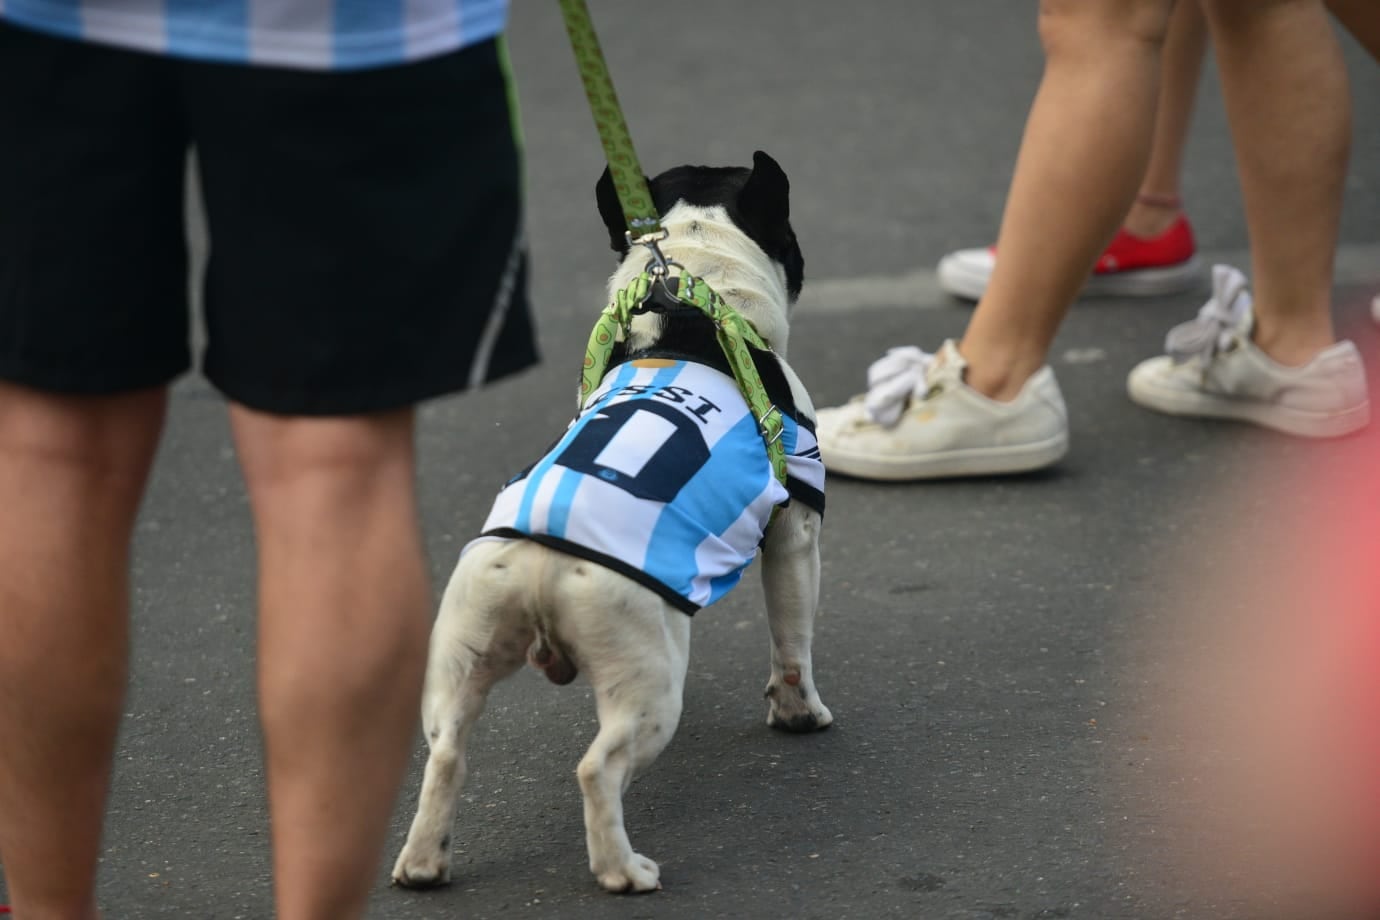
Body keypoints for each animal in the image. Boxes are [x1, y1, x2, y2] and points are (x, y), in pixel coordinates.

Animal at [394, 154, 833, 893]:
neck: (688, 288)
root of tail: (543, 560)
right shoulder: (795, 534)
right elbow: (792, 641)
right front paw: (799, 715)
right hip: (649, 681)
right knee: (598, 768)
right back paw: (622, 870)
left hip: (465, 648)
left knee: (447, 753)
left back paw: (424, 863)